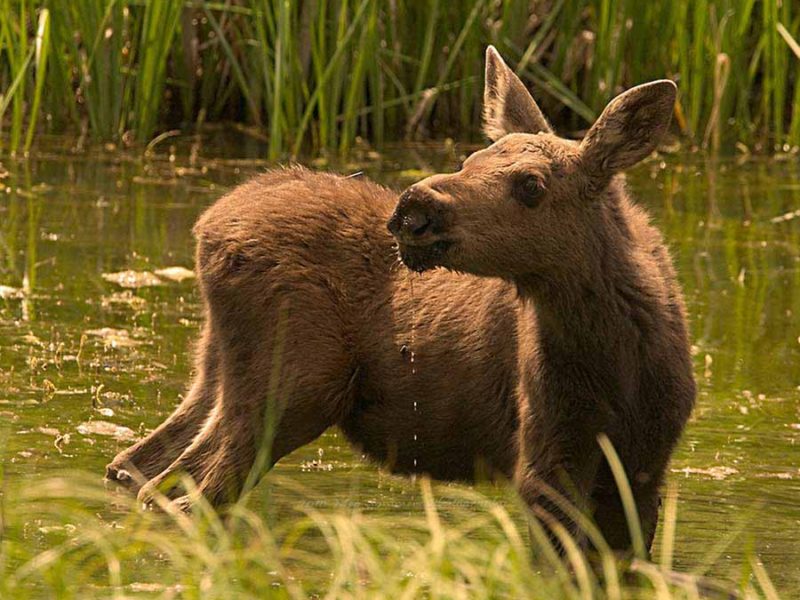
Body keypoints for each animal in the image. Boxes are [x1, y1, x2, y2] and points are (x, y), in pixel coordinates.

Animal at [108, 45, 692, 552]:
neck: (616, 363)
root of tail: (208, 227)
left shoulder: (646, 466)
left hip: (219, 366)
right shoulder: (544, 452)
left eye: (531, 184)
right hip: (292, 382)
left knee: (140, 464)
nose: (414, 207)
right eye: (471, 158)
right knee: (184, 489)